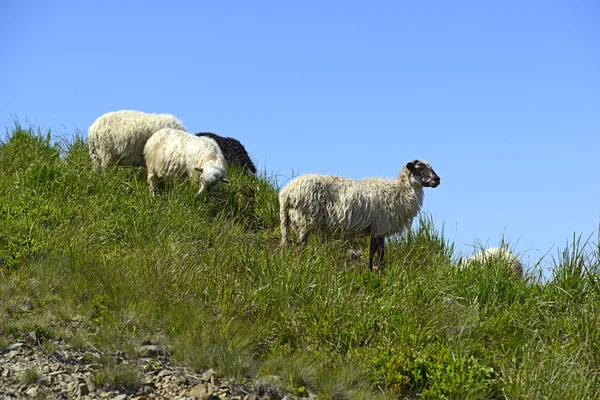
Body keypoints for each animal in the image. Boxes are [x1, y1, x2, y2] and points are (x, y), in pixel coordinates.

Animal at [280, 159, 440, 268]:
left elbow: (374, 252)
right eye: (420, 169)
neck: (400, 192)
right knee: (301, 246)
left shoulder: (376, 230)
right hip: (304, 220)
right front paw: (376, 272)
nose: (437, 179)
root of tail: (286, 193)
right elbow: (377, 253)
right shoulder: (379, 227)